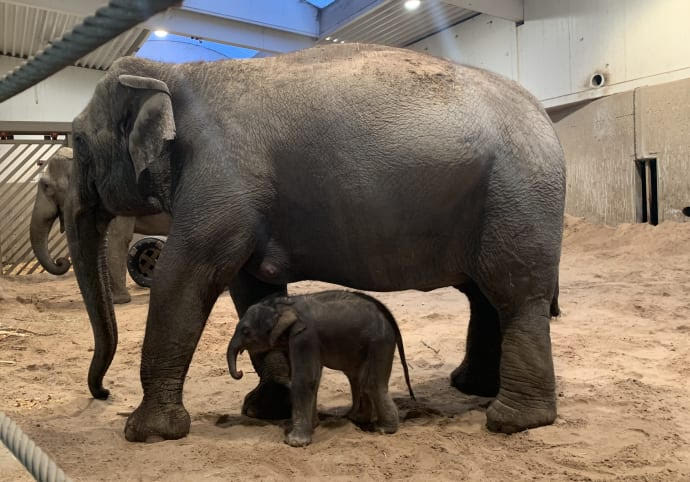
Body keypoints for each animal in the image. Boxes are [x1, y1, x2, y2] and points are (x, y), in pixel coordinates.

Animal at [227, 291, 415, 447]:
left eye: (246, 331)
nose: (239, 373)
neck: (285, 305)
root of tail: (389, 317)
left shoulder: (305, 337)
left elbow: (304, 380)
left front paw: (294, 442)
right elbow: (314, 379)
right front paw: (313, 426)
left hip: (379, 343)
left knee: (371, 384)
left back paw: (383, 429)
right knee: (357, 378)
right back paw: (355, 419)